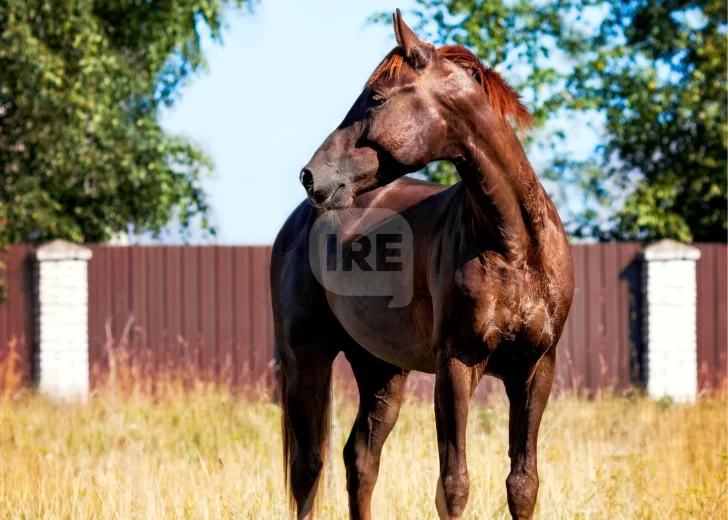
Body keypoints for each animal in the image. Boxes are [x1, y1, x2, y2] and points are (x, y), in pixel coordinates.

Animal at [272, 9, 576, 520]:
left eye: (376, 97)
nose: (311, 176)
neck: (515, 249)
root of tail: (297, 222)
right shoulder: (455, 366)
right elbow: (453, 485)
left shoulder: (536, 370)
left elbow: (523, 483)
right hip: (305, 358)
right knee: (309, 468)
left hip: (380, 370)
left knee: (359, 459)